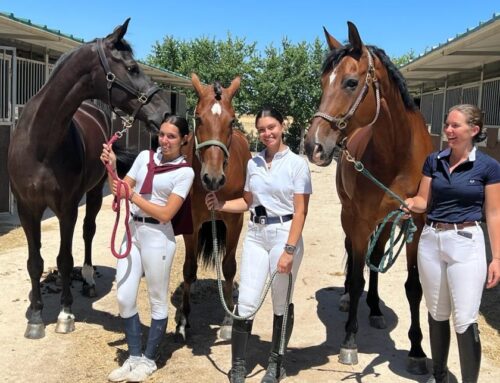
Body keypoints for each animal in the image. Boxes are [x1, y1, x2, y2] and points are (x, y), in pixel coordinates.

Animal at [6, 19, 171, 340]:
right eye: (132, 68)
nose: (165, 113)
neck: (39, 143)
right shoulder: (26, 208)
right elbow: (35, 262)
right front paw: (35, 316)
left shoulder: (67, 208)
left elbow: (64, 258)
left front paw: (65, 314)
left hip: (94, 193)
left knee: (88, 232)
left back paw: (87, 280)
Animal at [177, 73, 254, 340]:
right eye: (199, 118)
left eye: (231, 121)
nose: (212, 178)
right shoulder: (192, 223)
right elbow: (189, 269)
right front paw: (183, 320)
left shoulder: (234, 222)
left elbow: (229, 268)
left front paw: (228, 321)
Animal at [302, 21, 436, 376]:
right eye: (322, 82)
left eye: (350, 82)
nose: (313, 146)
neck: (399, 154)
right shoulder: (360, 219)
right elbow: (355, 274)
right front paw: (350, 341)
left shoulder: (414, 223)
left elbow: (414, 287)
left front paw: (417, 351)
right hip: (349, 215)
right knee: (354, 258)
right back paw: (349, 298)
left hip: (385, 222)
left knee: (375, 259)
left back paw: (375, 309)